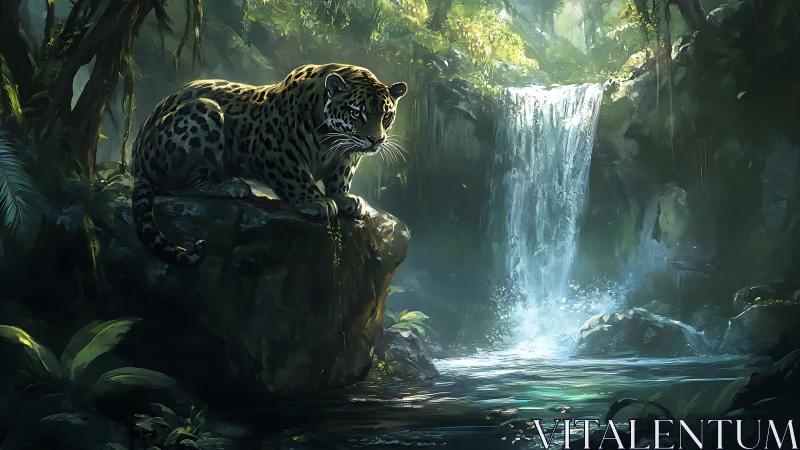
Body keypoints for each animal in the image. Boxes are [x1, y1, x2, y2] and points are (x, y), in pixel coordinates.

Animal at [130, 63, 408, 265]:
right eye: (356, 112)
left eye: (386, 115)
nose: (376, 140)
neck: (332, 140)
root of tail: (135, 160)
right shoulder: (276, 149)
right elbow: (294, 176)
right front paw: (316, 201)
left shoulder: (346, 155)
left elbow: (341, 176)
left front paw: (345, 198)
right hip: (204, 112)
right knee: (181, 185)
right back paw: (230, 186)